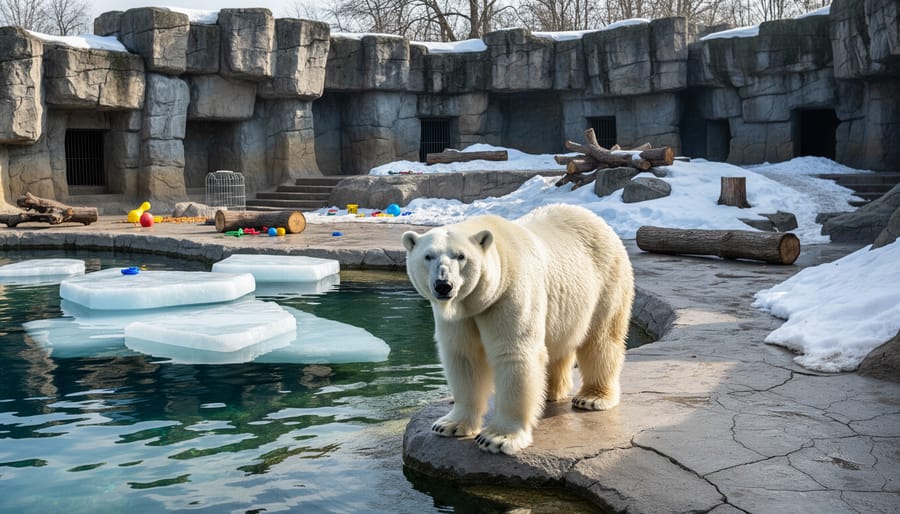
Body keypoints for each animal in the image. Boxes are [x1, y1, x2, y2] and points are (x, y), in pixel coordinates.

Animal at [402, 204, 634, 455]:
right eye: (428, 256)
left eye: (461, 256)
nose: (444, 285)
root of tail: (596, 220)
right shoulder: (461, 316)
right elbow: (465, 357)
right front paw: (448, 425)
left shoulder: (509, 294)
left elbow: (514, 354)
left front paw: (497, 438)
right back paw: (550, 392)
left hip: (606, 280)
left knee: (601, 339)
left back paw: (592, 397)